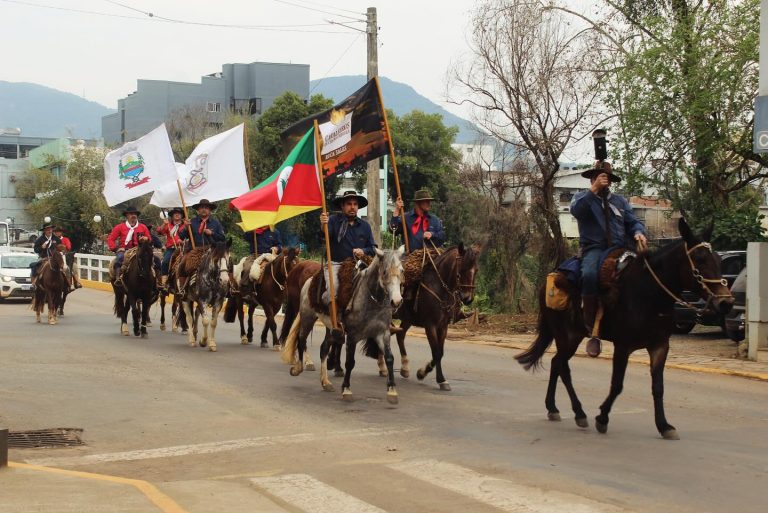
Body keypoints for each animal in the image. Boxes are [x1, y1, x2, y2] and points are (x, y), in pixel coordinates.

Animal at [282, 248, 404, 403]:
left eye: (402, 270)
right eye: (384, 272)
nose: (396, 301)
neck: (371, 302)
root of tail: (309, 281)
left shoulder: (382, 333)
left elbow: (389, 358)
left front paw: (392, 390)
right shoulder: (352, 336)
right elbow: (350, 362)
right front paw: (346, 389)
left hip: (331, 328)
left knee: (323, 348)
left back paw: (325, 382)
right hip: (307, 317)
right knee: (301, 339)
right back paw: (299, 368)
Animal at [393, 243, 481, 391]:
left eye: (476, 270)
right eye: (462, 268)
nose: (467, 298)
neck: (439, 287)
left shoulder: (443, 326)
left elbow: (440, 352)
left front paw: (433, 377)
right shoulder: (430, 325)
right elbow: (436, 352)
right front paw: (427, 375)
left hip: (408, 319)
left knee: (400, 335)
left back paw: (404, 368)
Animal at [515, 218, 734, 439]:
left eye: (717, 259)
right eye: (700, 259)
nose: (726, 302)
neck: (648, 294)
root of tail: (551, 279)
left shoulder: (660, 346)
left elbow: (658, 387)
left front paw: (664, 425)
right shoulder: (622, 346)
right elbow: (617, 384)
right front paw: (602, 418)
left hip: (572, 336)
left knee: (556, 363)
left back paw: (553, 407)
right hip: (565, 335)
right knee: (562, 367)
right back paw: (578, 413)